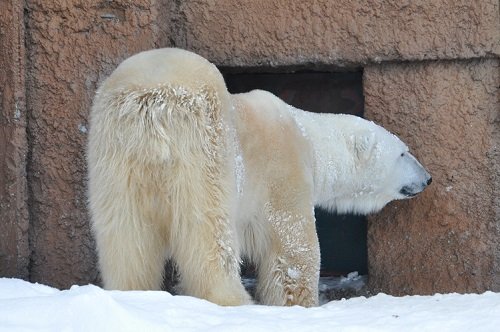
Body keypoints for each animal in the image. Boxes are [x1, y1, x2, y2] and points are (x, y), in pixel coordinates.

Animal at [88, 48, 432, 308]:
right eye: (404, 153)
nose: (427, 178)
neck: (307, 137)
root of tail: (151, 101)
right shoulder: (282, 172)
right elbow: (294, 246)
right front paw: (301, 303)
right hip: (205, 144)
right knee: (208, 231)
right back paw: (233, 299)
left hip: (114, 153)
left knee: (126, 234)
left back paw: (132, 293)